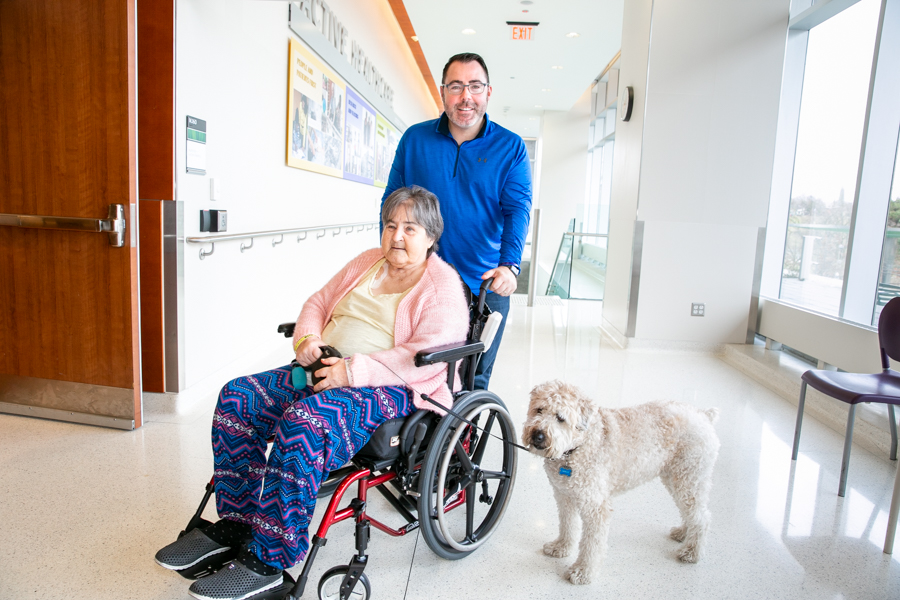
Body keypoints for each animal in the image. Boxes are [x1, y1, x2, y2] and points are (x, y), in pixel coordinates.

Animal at [524, 382, 720, 584]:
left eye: (560, 418)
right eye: (539, 409)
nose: (538, 435)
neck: (576, 448)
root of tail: (704, 415)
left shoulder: (596, 507)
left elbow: (592, 544)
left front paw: (583, 571)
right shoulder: (564, 496)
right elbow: (568, 525)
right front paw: (561, 547)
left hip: (689, 479)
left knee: (702, 517)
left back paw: (692, 551)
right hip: (677, 480)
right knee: (691, 513)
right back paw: (683, 533)